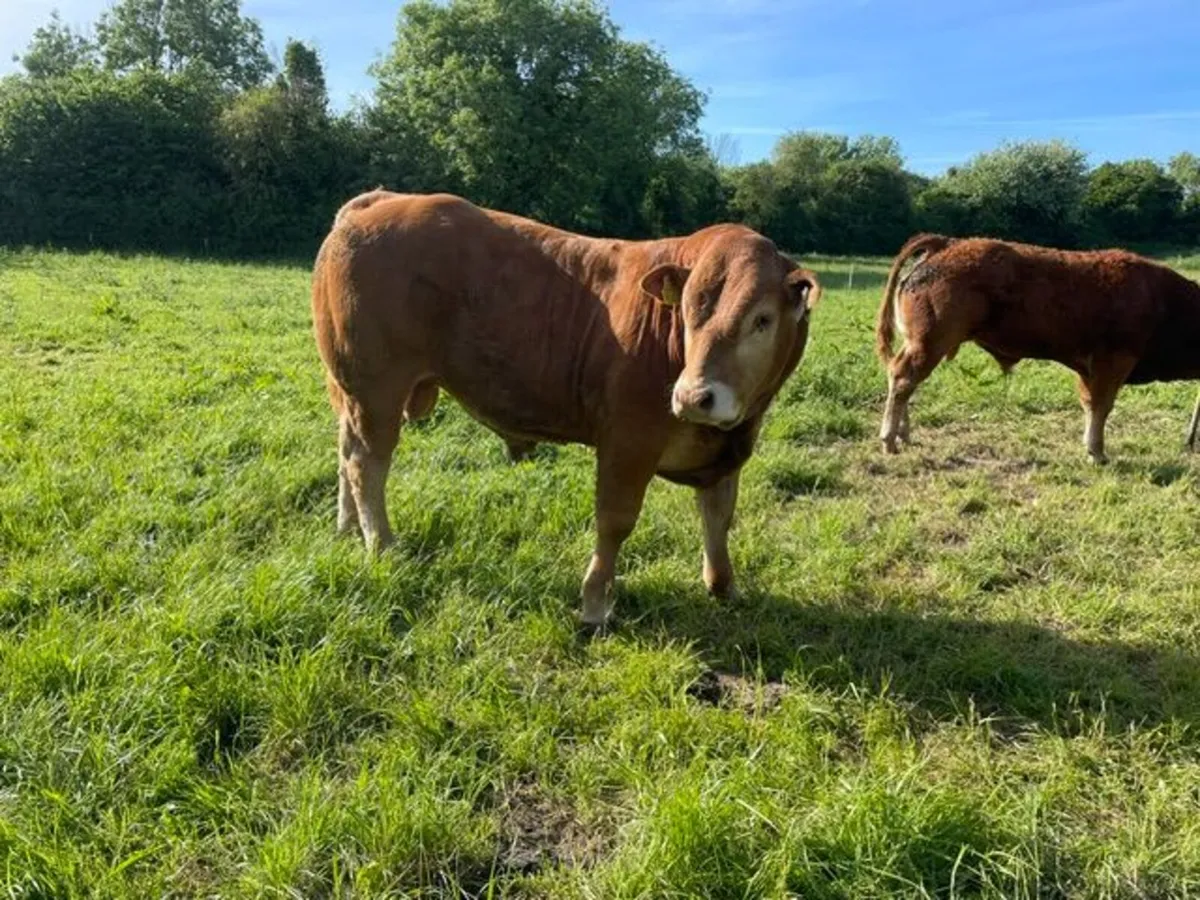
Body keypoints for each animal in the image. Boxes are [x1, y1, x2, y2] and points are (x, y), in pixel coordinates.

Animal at [312, 191, 821, 626]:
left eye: (762, 319)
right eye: (688, 311)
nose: (694, 396)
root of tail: (381, 200)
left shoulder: (725, 451)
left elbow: (719, 517)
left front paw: (724, 587)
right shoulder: (628, 442)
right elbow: (615, 521)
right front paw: (595, 604)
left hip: (354, 394)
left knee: (345, 453)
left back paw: (347, 530)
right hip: (376, 390)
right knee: (366, 465)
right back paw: (381, 545)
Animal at [876, 233, 1200, 464]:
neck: (1163, 300)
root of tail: (946, 243)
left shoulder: (1091, 369)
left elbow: (1090, 404)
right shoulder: (1112, 362)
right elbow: (1101, 405)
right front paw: (1097, 453)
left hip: (920, 344)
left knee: (902, 379)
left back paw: (904, 435)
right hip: (930, 343)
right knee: (903, 378)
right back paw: (890, 439)